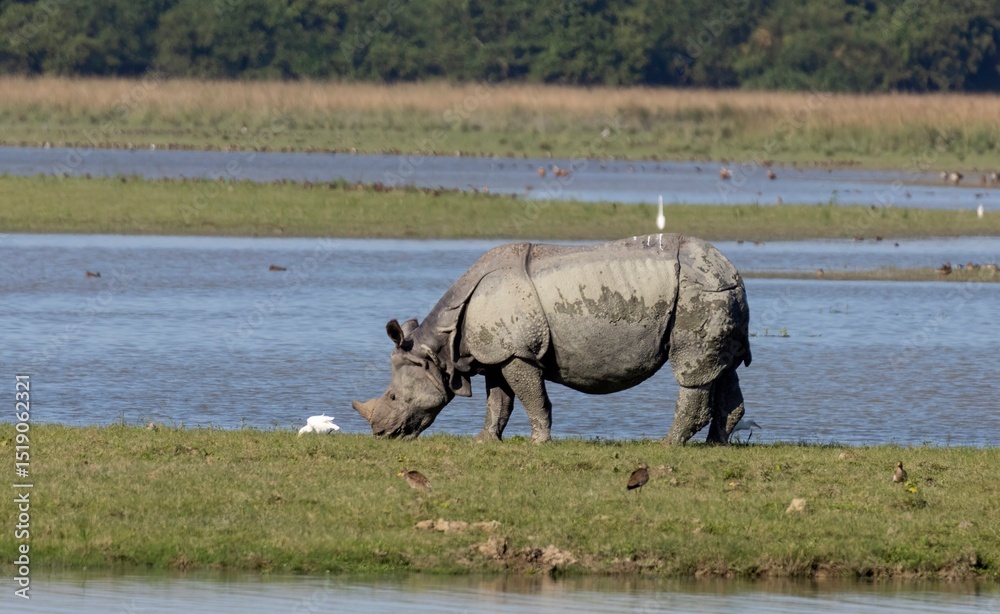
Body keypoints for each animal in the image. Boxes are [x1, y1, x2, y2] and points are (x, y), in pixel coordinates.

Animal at [352, 234, 751, 444]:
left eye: (393, 396)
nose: (380, 433)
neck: (441, 347)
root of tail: (731, 269)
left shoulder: (517, 353)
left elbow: (533, 399)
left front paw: (538, 443)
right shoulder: (498, 353)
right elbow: (499, 402)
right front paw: (484, 442)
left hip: (699, 291)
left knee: (690, 371)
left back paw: (667, 446)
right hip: (716, 292)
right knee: (722, 369)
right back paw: (716, 446)